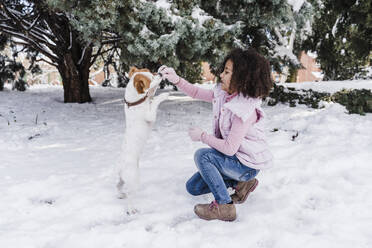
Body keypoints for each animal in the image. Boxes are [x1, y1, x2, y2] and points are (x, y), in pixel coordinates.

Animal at [117, 67, 169, 214]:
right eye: (150, 79)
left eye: (152, 72)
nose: (160, 73)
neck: (134, 102)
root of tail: (122, 168)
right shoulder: (150, 115)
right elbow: (155, 99)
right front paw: (164, 95)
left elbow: (151, 94)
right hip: (134, 180)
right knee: (130, 194)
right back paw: (131, 209)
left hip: (121, 179)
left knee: (119, 186)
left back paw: (120, 194)